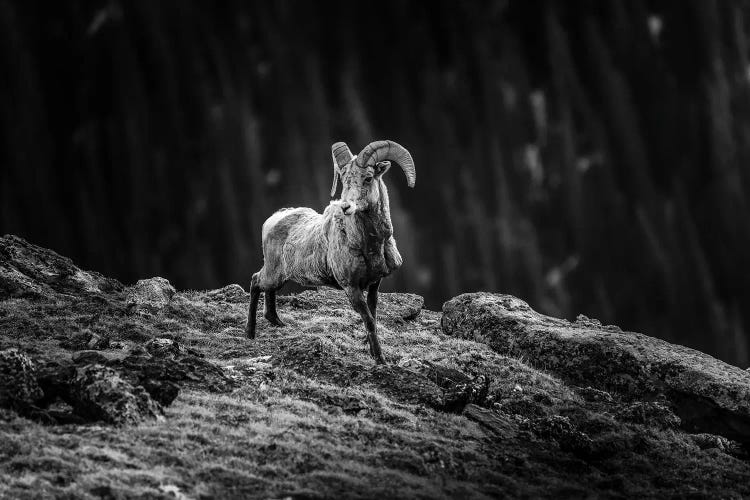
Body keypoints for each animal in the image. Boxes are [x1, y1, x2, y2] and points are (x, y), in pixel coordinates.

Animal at [245, 140, 414, 364]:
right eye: (343, 179)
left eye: (368, 178)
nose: (346, 207)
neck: (369, 244)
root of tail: (273, 220)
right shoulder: (351, 287)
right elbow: (369, 320)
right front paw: (380, 359)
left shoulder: (374, 283)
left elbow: (373, 316)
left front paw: (372, 352)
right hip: (273, 273)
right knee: (256, 281)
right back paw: (249, 333)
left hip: (279, 277)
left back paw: (277, 323)